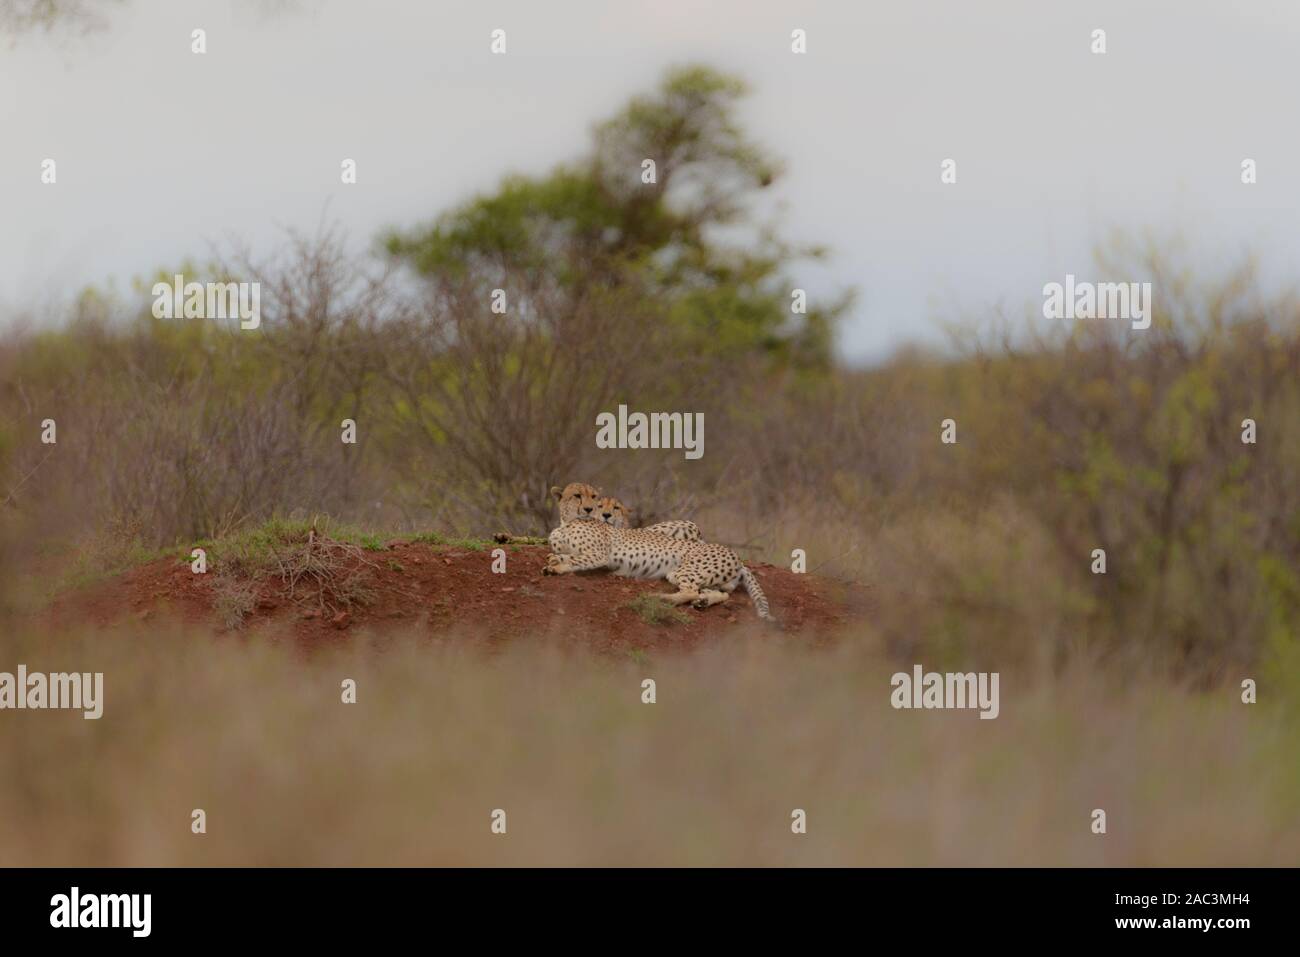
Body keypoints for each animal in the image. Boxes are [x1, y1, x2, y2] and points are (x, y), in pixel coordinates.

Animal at [540, 514, 769, 621]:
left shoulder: (598, 555)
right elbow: (562, 555)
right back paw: (703, 601)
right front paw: (553, 561)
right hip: (707, 578)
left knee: (689, 591)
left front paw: (556, 568)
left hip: (683, 570)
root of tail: (738, 558)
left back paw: (662, 598)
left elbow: (574, 561)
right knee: (721, 593)